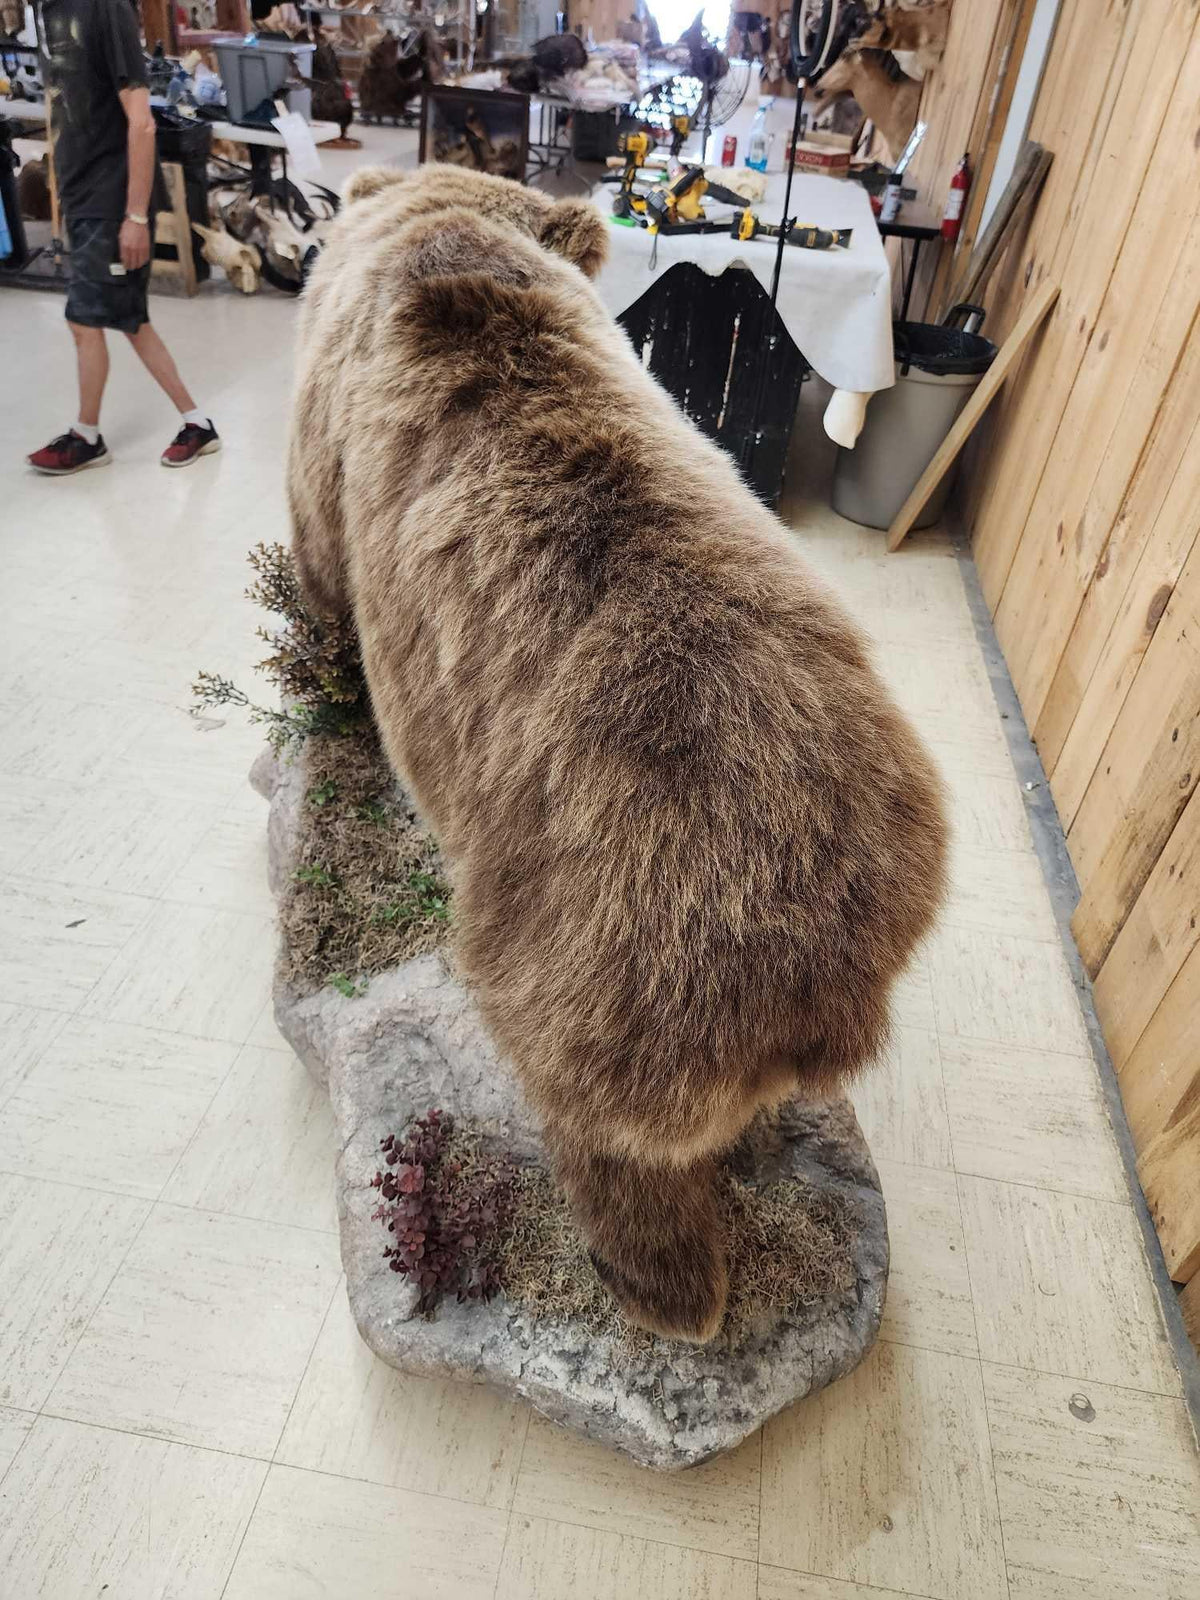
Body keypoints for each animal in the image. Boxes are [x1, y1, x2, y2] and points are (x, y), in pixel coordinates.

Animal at [288, 164, 948, 1343]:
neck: (443, 235)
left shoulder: (328, 424)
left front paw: (327, 687)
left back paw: (665, 1287)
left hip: (591, 950)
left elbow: (318, 552)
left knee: (608, 1137)